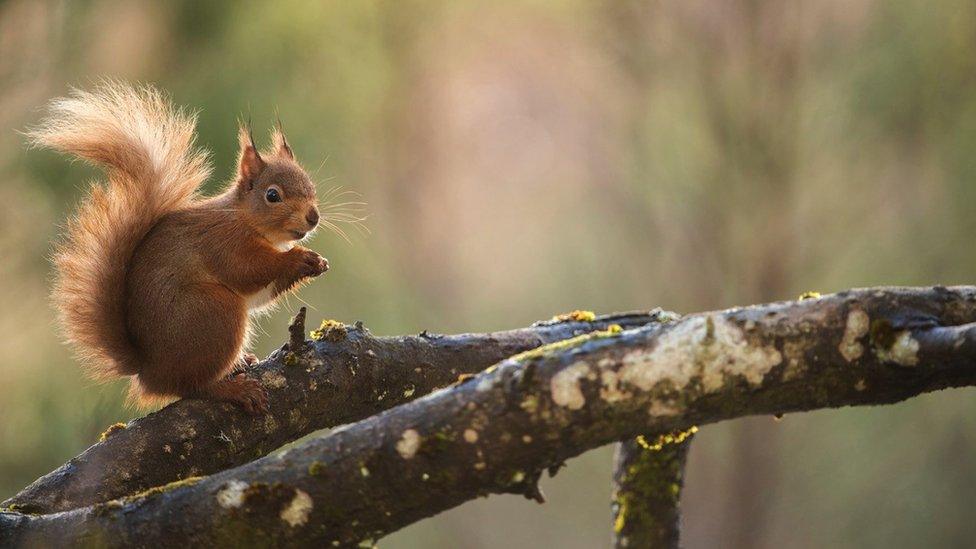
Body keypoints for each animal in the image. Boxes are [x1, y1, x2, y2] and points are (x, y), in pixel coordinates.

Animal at [31, 82, 328, 412]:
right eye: (272, 195)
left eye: (310, 186)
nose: (313, 217)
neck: (244, 219)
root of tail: (149, 371)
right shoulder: (223, 243)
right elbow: (249, 271)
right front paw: (297, 258)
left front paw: (316, 263)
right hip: (213, 313)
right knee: (191, 386)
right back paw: (232, 389)